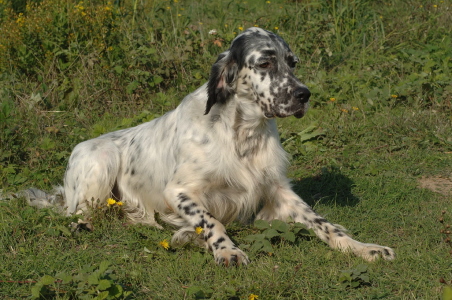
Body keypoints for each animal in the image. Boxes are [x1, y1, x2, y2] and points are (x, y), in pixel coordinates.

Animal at [24, 27, 394, 264]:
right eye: (265, 63)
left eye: (293, 62)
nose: (304, 95)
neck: (242, 133)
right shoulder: (179, 191)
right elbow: (212, 220)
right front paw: (228, 251)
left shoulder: (277, 190)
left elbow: (322, 221)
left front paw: (363, 247)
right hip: (101, 161)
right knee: (79, 214)